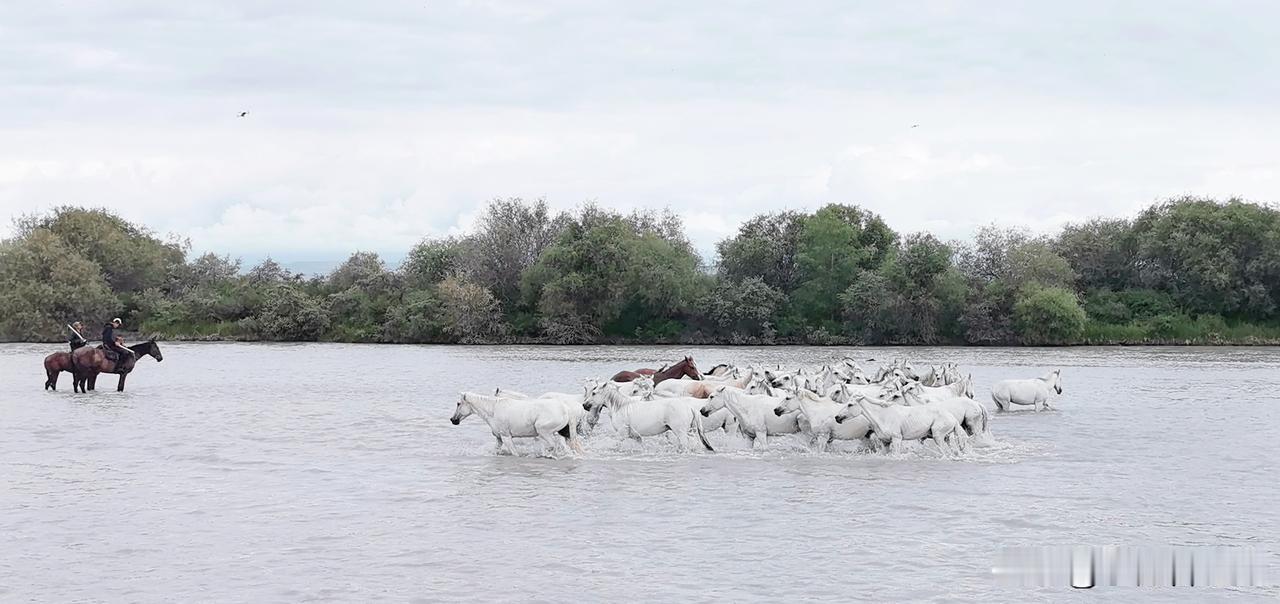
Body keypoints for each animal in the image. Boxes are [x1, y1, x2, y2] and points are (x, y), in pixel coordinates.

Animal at [451, 392, 582, 456]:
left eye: (458, 403)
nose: (453, 420)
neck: (493, 410)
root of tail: (566, 409)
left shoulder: (506, 437)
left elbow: (515, 453)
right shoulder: (499, 438)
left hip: (543, 432)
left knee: (555, 445)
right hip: (563, 434)